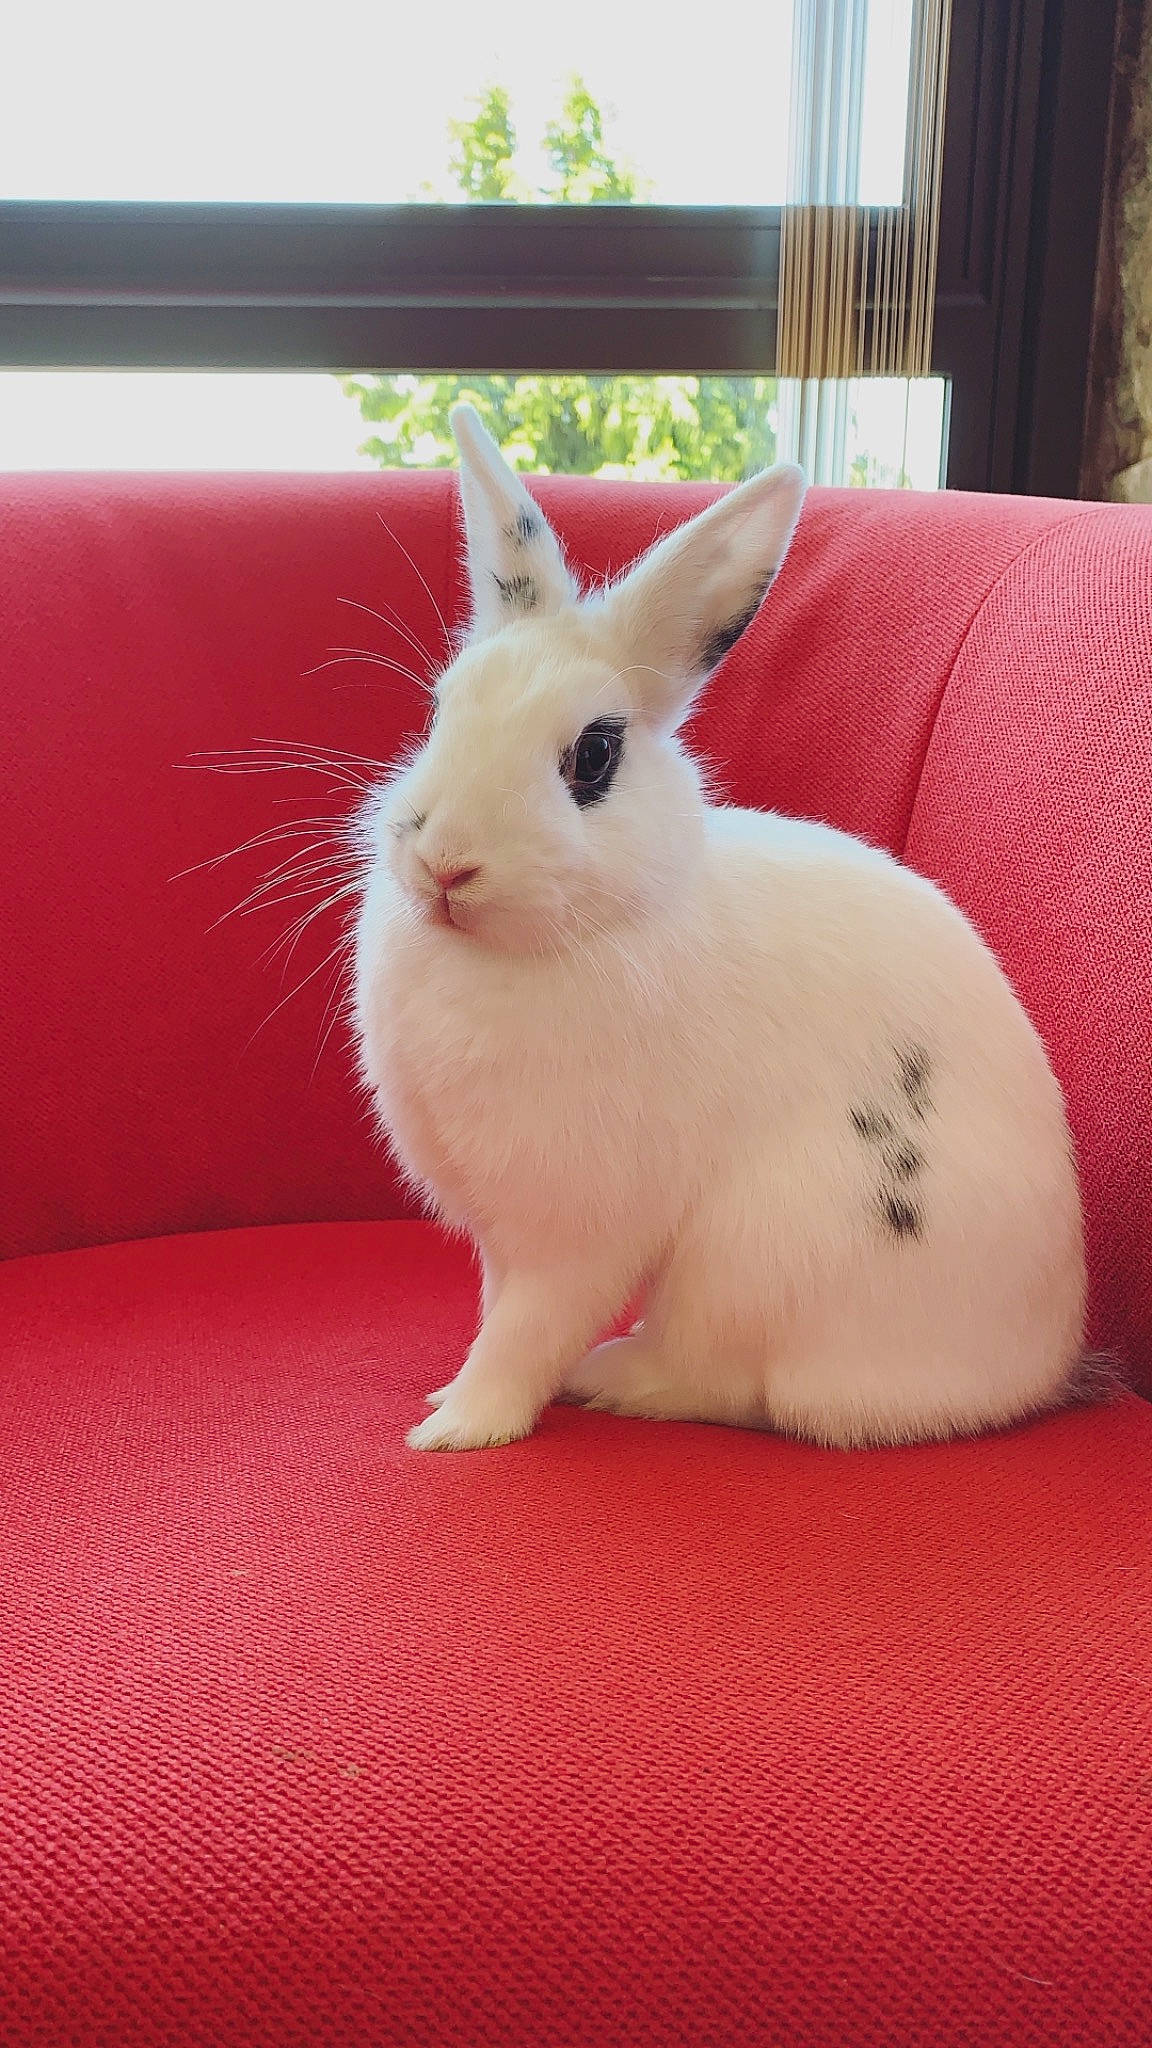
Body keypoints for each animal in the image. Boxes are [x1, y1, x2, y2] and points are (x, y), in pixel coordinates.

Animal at [353, 404, 1086, 1453]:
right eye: (441, 709)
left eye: (594, 756)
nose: (446, 865)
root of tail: (1042, 1369)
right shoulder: (506, 1230)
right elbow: (498, 1308)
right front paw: (444, 1405)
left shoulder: (577, 1232)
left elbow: (524, 1331)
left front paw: (458, 1428)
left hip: (751, 1259)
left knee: (725, 1380)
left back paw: (614, 1377)